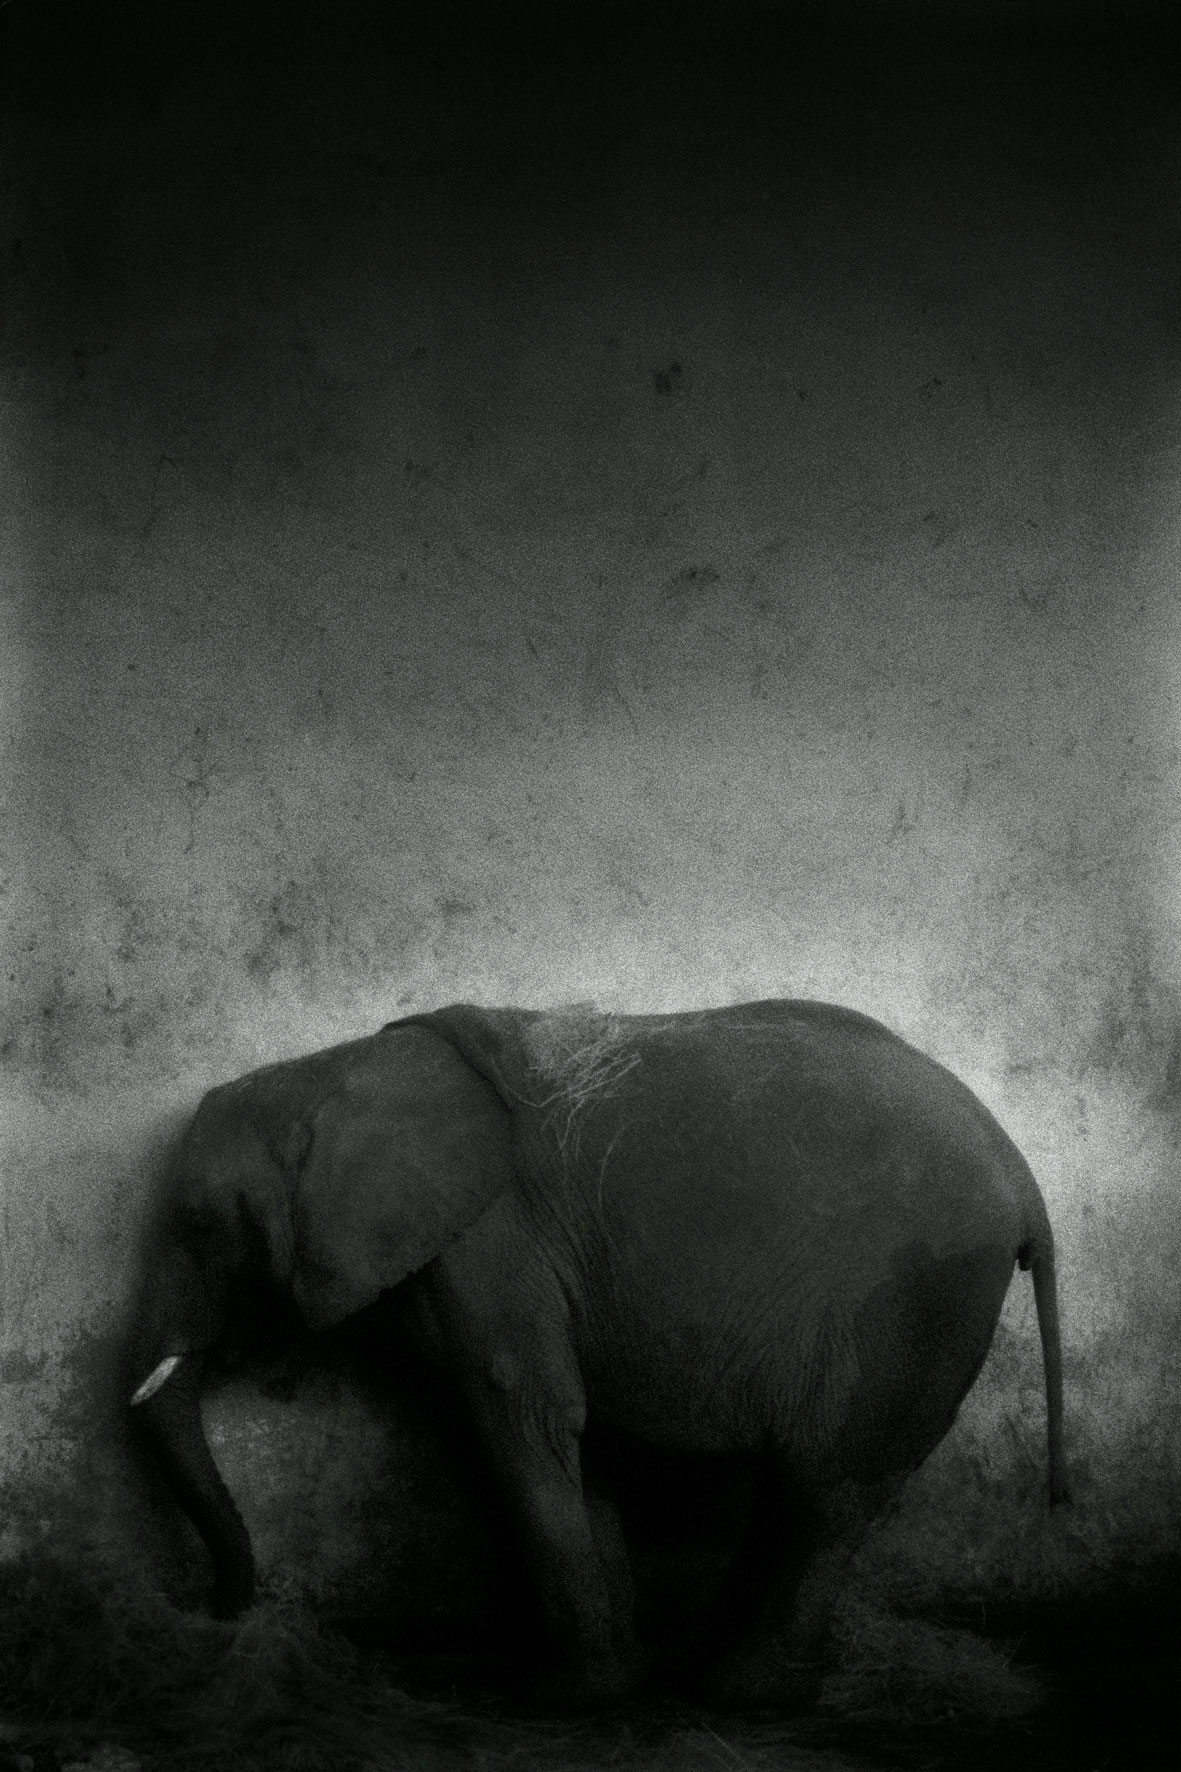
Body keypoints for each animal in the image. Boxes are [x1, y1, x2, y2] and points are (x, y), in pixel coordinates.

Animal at [127, 998, 1069, 1710]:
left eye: (202, 1226)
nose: (225, 1611)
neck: (331, 1069)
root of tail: (1022, 1175)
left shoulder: (489, 1240)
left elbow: (518, 1409)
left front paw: (561, 1698)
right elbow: (582, 1435)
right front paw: (617, 1679)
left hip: (917, 1297)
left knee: (831, 1486)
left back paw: (745, 1695)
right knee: (807, 1484)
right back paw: (709, 1671)